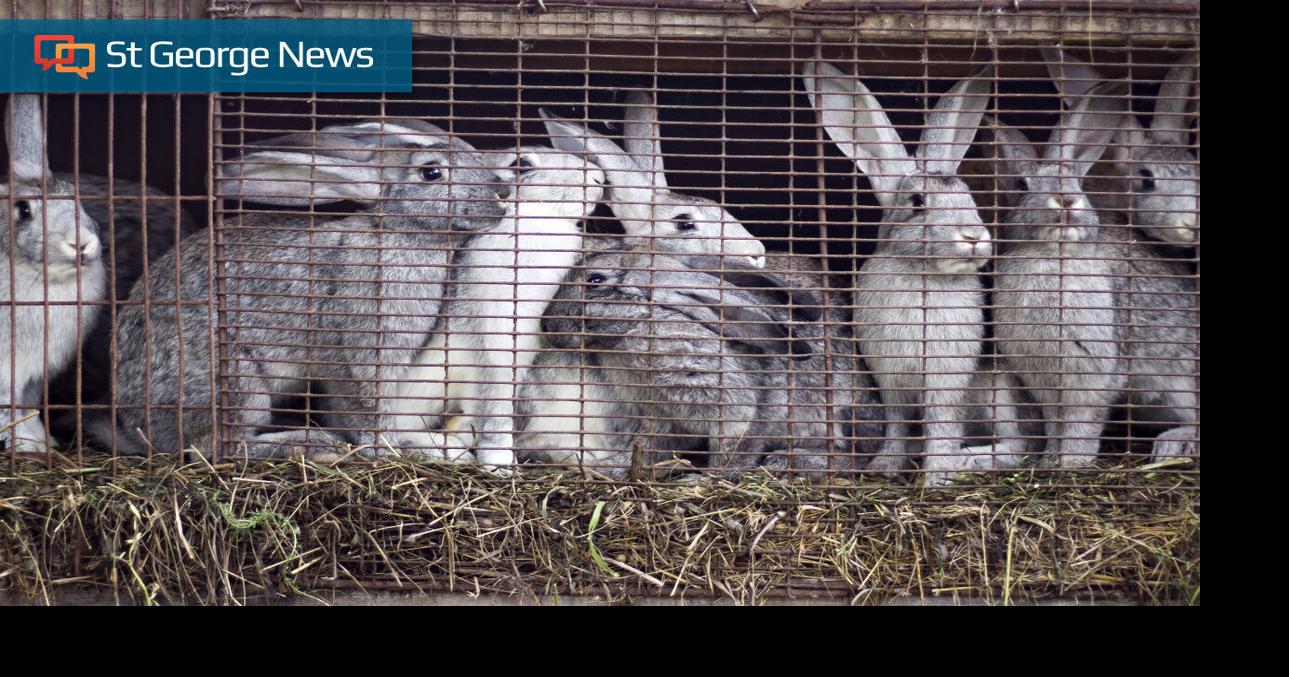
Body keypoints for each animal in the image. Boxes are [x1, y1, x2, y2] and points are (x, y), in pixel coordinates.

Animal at [2, 94, 107, 453]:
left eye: (76, 198)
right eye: (23, 210)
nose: (81, 243)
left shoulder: (34, 374)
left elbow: (25, 404)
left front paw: (39, 440)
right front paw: (25, 445)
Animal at [90, 119, 511, 460]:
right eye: (432, 172)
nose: (501, 195)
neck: (395, 234)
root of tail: (136, 423)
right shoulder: (358, 353)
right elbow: (368, 409)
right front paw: (391, 449)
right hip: (234, 380)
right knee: (215, 447)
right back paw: (309, 444)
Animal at [516, 248, 882, 478]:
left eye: (594, 280)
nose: (547, 324)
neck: (640, 323)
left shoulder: (730, 400)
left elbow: (737, 444)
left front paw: (705, 479)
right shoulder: (663, 419)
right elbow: (647, 446)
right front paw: (614, 467)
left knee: (853, 457)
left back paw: (787, 463)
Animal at [802, 61, 994, 485]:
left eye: (969, 197)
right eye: (917, 203)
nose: (973, 236)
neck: (923, 276)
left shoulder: (946, 381)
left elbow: (942, 426)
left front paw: (937, 477)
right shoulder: (888, 378)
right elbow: (897, 422)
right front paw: (885, 466)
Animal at [991, 83, 1199, 467]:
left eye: (1076, 181)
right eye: (1023, 185)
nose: (1065, 200)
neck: (1051, 258)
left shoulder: (1091, 373)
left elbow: (1081, 424)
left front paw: (1071, 463)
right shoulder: (1043, 379)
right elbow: (1056, 424)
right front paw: (1050, 462)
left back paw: (1172, 445)